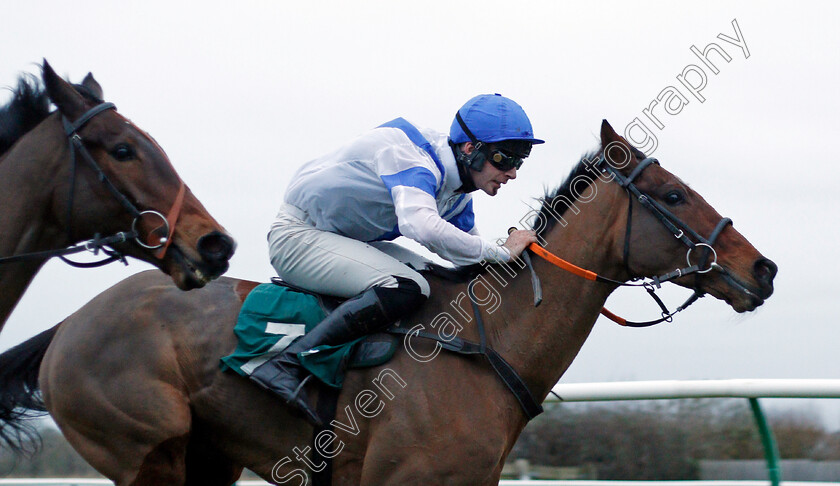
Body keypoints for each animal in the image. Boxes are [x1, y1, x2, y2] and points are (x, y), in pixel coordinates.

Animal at [0, 119, 776, 484]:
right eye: (673, 195)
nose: (762, 269)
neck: (484, 348)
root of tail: (68, 324)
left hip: (206, 455)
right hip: (143, 446)